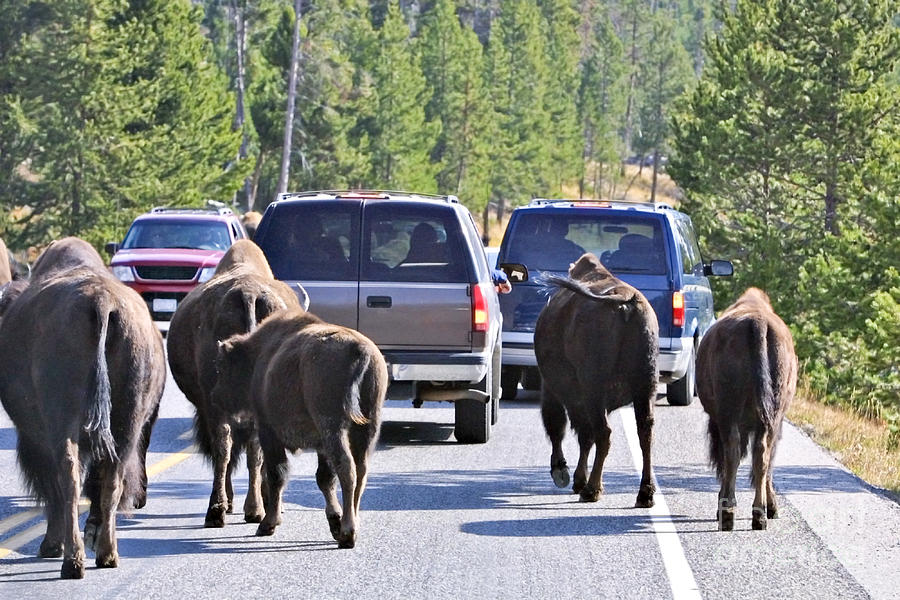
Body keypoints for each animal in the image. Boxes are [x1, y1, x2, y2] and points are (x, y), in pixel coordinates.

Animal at [0, 237, 164, 580]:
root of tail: (102, 302)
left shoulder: (36, 440)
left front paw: (51, 545)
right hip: (126, 423)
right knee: (112, 479)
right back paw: (107, 554)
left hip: (62, 424)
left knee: (68, 479)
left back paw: (71, 560)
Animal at [167, 238, 308, 524]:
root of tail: (248, 294)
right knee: (240, 448)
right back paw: (246, 509)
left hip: (217, 406)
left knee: (229, 448)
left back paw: (224, 509)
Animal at [214, 310, 390, 548]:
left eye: (221, 368)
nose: (214, 397)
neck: (259, 355)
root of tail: (358, 349)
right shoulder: (320, 445)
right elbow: (324, 479)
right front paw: (334, 520)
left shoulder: (268, 430)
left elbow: (276, 474)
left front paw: (268, 525)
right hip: (367, 428)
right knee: (360, 471)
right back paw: (351, 524)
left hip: (333, 427)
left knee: (347, 468)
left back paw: (347, 533)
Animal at [536, 252, 652, 506]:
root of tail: (624, 300)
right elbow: (584, 435)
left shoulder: (552, 388)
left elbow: (560, 427)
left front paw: (564, 473)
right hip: (645, 387)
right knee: (644, 432)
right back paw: (645, 494)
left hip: (593, 390)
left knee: (602, 433)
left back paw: (592, 490)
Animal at [696, 286, 796, 528]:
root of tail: (756, 323)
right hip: (770, 416)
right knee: (762, 455)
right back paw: (759, 514)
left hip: (729, 414)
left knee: (733, 452)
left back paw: (728, 513)